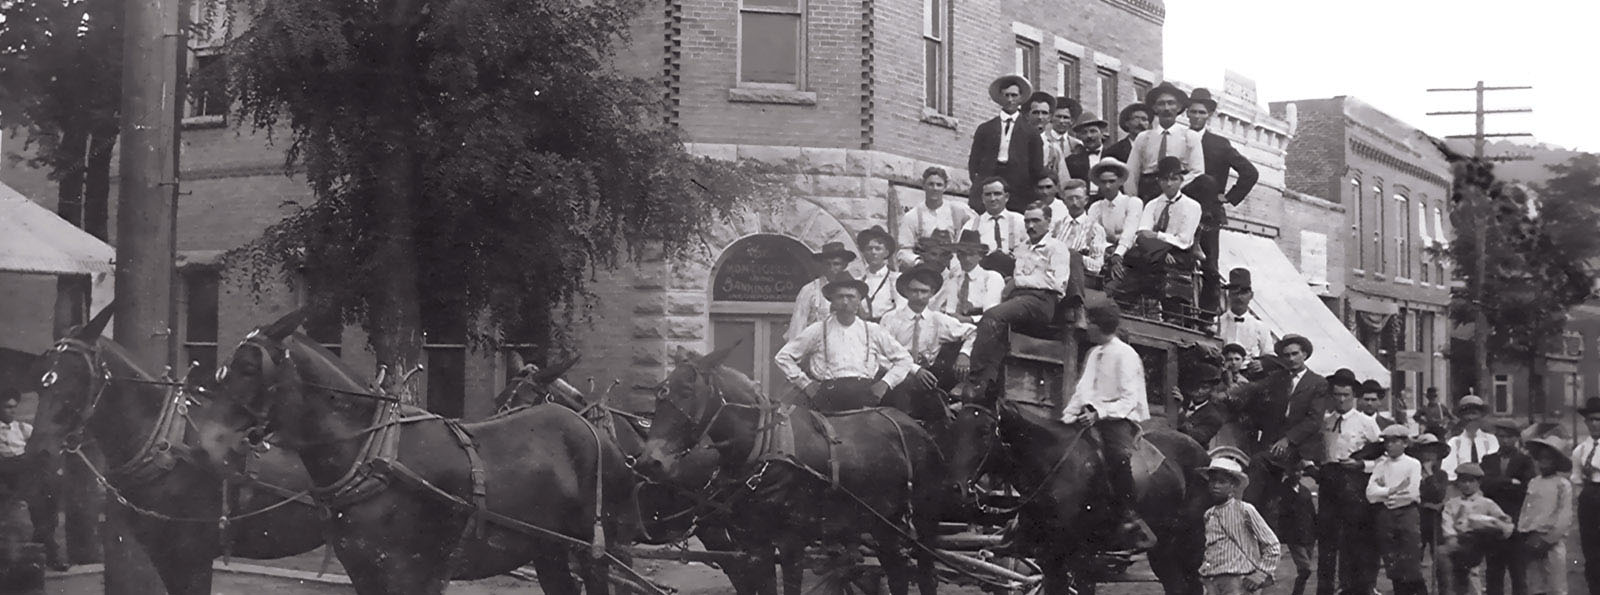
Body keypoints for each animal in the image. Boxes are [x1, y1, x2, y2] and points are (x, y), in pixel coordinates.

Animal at [25, 307, 321, 595]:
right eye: (42, 378)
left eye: (79, 376)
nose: (39, 449)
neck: (170, 448)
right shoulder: (162, 554)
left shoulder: (193, 556)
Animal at [203, 311, 640, 595]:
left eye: (248, 368)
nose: (208, 438)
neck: (372, 456)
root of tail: (593, 431)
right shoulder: (365, 570)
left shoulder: (403, 572)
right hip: (547, 548)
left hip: (596, 548)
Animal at [633, 347, 940, 595]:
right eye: (660, 392)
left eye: (687, 391)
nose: (649, 461)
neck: (764, 450)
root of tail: (918, 427)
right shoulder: (755, 543)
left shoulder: (792, 542)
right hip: (882, 522)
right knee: (897, 571)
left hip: (921, 520)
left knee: (924, 573)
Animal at [947, 395, 1203, 595]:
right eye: (954, 429)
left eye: (984, 432)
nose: (956, 488)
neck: (1055, 469)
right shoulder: (1050, 559)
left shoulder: (1077, 559)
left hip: (1182, 544)